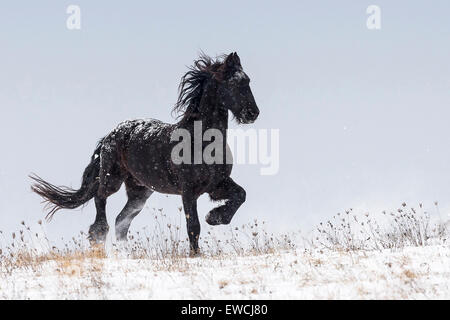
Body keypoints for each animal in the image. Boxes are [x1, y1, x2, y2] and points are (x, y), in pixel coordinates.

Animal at [29, 52, 258, 255]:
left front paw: (215, 217)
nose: (253, 113)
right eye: (233, 83)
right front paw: (197, 251)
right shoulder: (188, 191)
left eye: (247, 80)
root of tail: (109, 135)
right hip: (113, 180)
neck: (202, 141)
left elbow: (241, 195)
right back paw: (98, 237)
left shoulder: (216, 185)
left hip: (139, 192)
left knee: (121, 221)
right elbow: (194, 226)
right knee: (100, 200)